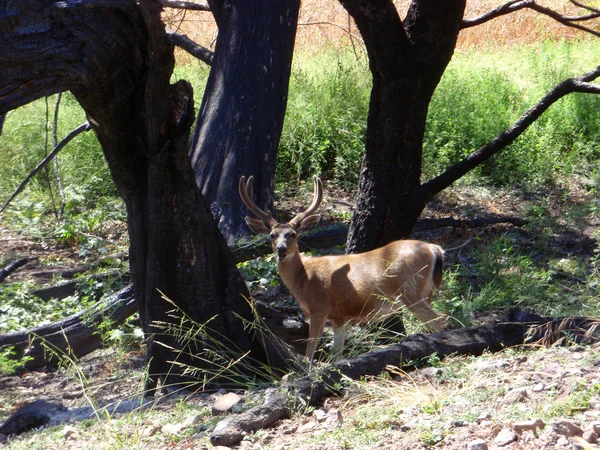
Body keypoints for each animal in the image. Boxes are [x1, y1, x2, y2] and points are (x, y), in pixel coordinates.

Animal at [239, 174, 446, 360]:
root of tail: (434, 249)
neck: (304, 279)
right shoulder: (340, 318)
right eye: (272, 235)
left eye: (293, 234)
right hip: (424, 291)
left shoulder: (319, 307)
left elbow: (310, 350)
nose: (281, 250)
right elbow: (337, 354)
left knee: (440, 320)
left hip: (411, 290)